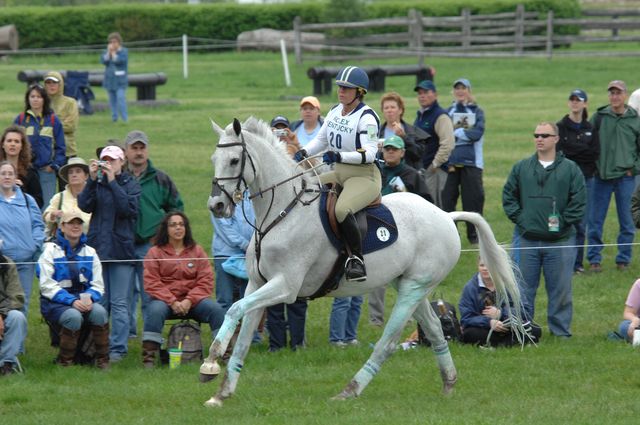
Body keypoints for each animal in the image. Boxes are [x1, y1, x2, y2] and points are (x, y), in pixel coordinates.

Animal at [202, 117, 524, 408]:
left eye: (234, 160)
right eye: (214, 159)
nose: (216, 206)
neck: (283, 212)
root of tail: (445, 215)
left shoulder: (285, 287)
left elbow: (233, 309)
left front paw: (211, 361)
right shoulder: (258, 284)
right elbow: (243, 334)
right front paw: (221, 392)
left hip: (413, 289)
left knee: (388, 343)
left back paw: (350, 390)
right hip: (410, 286)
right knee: (433, 329)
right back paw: (449, 382)